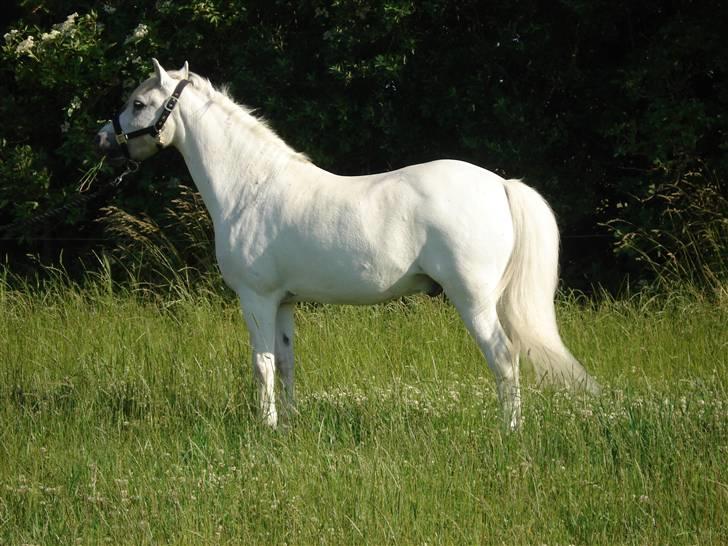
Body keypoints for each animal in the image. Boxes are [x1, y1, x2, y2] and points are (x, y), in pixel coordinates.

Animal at [95, 58, 596, 424]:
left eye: (139, 103)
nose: (103, 139)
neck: (251, 186)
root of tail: (500, 184)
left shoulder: (256, 298)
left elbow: (262, 364)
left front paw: (265, 426)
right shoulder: (284, 302)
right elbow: (286, 361)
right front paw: (289, 425)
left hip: (473, 300)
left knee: (504, 359)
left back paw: (507, 431)